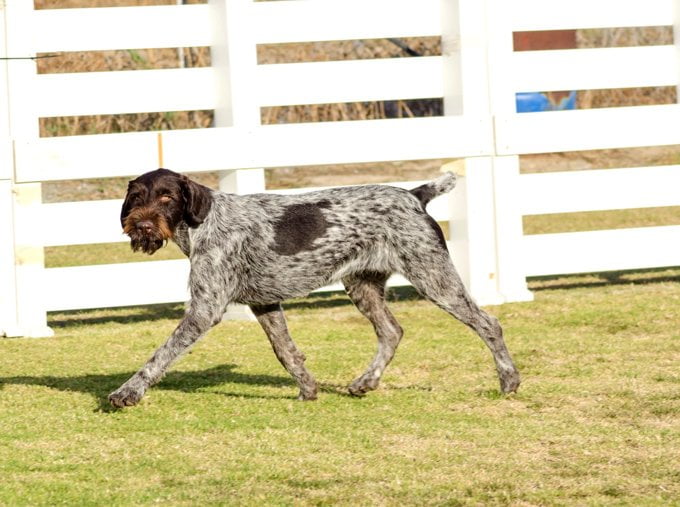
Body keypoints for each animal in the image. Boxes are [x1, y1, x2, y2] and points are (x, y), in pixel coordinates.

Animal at [109, 169, 516, 406]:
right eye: (137, 197)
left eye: (167, 197)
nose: (141, 226)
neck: (202, 223)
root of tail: (415, 196)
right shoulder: (265, 303)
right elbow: (286, 352)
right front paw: (308, 389)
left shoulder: (204, 311)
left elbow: (160, 356)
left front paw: (128, 392)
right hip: (362, 286)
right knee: (392, 331)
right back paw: (365, 382)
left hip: (434, 277)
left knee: (488, 324)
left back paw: (509, 380)